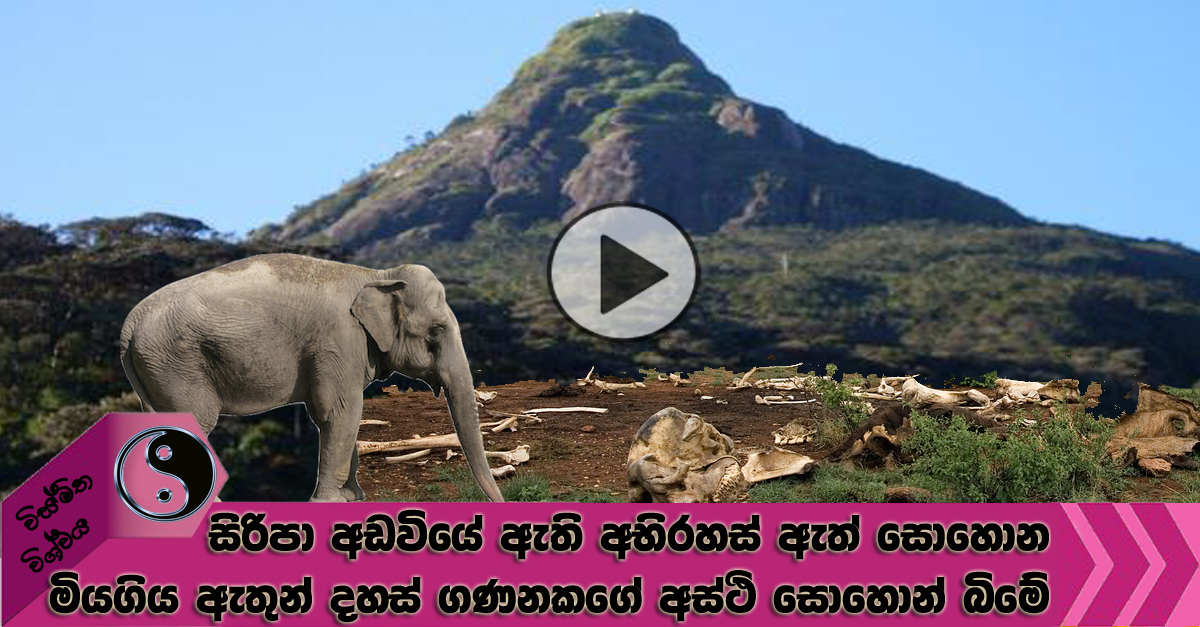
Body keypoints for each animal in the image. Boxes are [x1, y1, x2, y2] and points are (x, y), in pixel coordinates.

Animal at [119, 253, 503, 502]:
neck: (376, 274)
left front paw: (353, 498)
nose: (499, 501)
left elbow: (336, 417)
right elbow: (341, 412)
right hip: (176, 365)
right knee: (193, 425)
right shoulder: (338, 341)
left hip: (155, 371)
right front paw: (332, 502)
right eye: (436, 331)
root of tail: (129, 325)